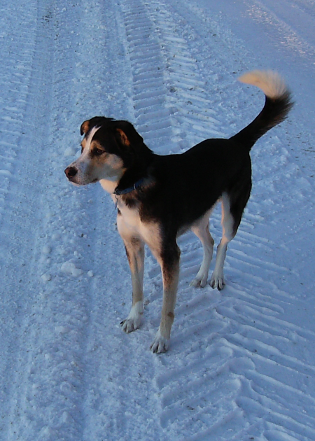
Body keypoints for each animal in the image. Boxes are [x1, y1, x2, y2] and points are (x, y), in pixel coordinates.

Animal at [65, 71, 294, 354]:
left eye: (98, 150)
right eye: (82, 146)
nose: (68, 171)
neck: (135, 184)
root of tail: (235, 142)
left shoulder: (169, 253)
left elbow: (167, 307)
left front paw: (161, 339)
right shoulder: (133, 246)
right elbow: (137, 289)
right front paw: (134, 318)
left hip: (231, 212)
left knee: (223, 242)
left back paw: (216, 276)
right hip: (196, 217)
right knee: (209, 241)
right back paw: (201, 276)